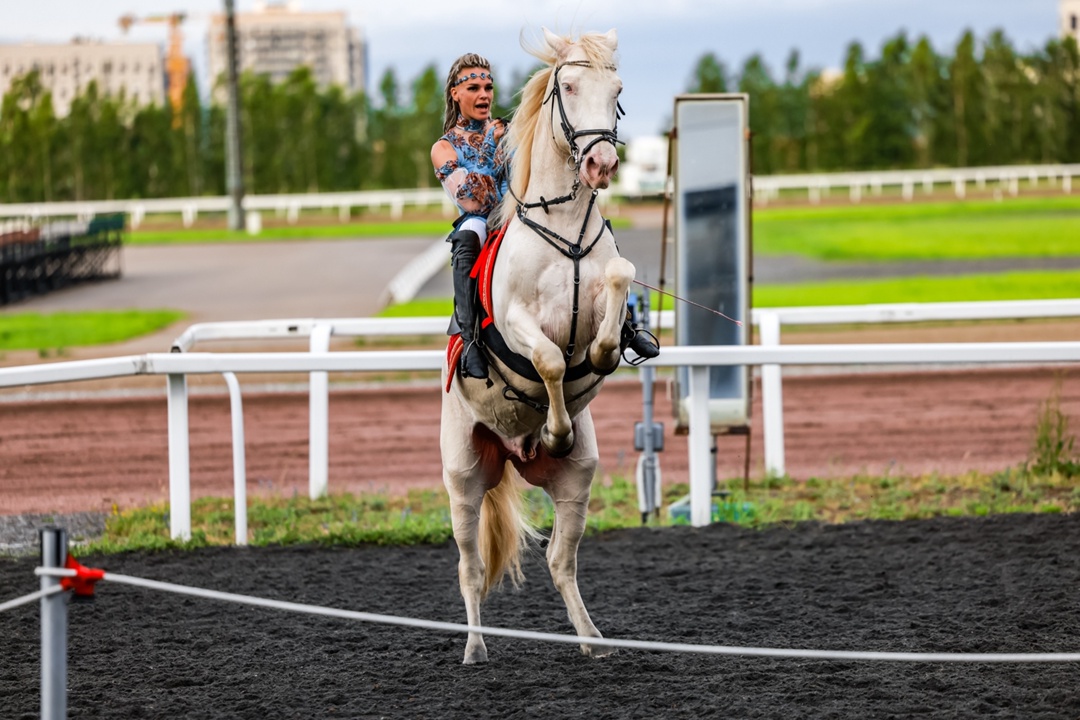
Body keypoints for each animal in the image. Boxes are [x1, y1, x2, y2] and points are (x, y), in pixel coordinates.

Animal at [438, 31, 630, 669]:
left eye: (617, 90)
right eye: (567, 86)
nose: (601, 164)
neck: (564, 231)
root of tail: (512, 453)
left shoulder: (607, 287)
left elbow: (616, 292)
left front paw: (595, 363)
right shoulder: (519, 321)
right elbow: (547, 360)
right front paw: (554, 424)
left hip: (577, 480)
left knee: (559, 561)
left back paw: (593, 641)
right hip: (463, 479)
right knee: (470, 569)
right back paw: (475, 649)